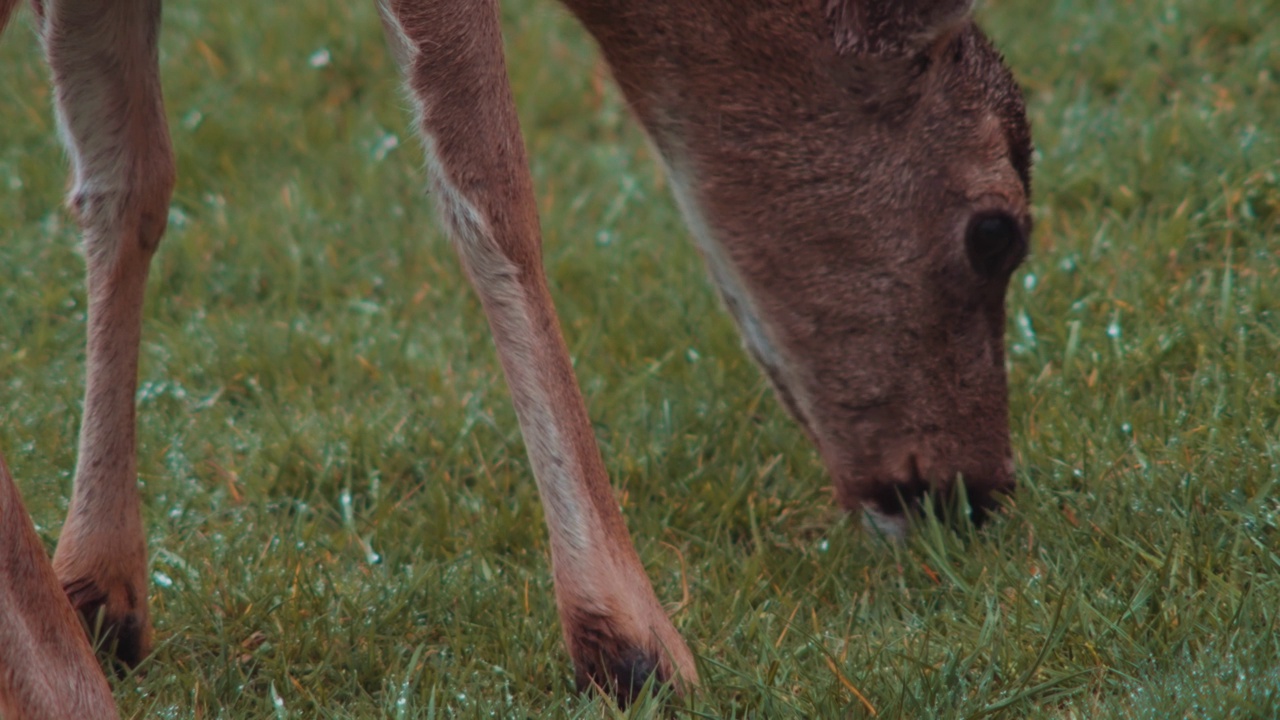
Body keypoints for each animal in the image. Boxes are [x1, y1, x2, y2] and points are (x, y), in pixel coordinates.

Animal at [0, 0, 1024, 707]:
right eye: (999, 233)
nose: (978, 490)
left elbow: (126, 171)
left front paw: (102, 590)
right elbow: (494, 184)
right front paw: (634, 641)